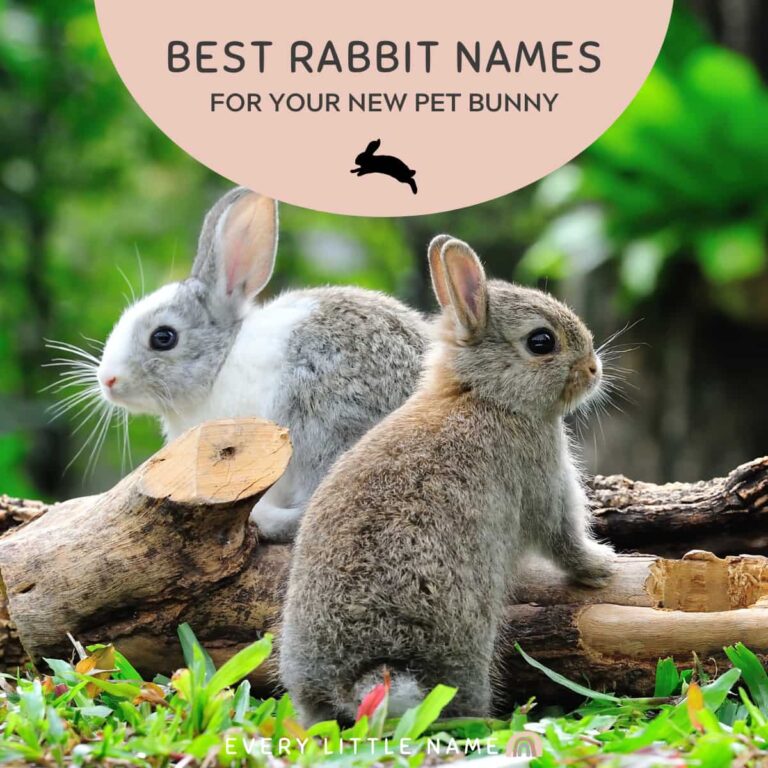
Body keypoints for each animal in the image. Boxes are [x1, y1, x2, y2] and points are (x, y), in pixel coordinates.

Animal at [280, 235, 616, 725]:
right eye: (541, 342)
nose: (594, 369)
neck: (484, 395)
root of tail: (359, 677)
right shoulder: (543, 480)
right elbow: (563, 539)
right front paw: (602, 566)